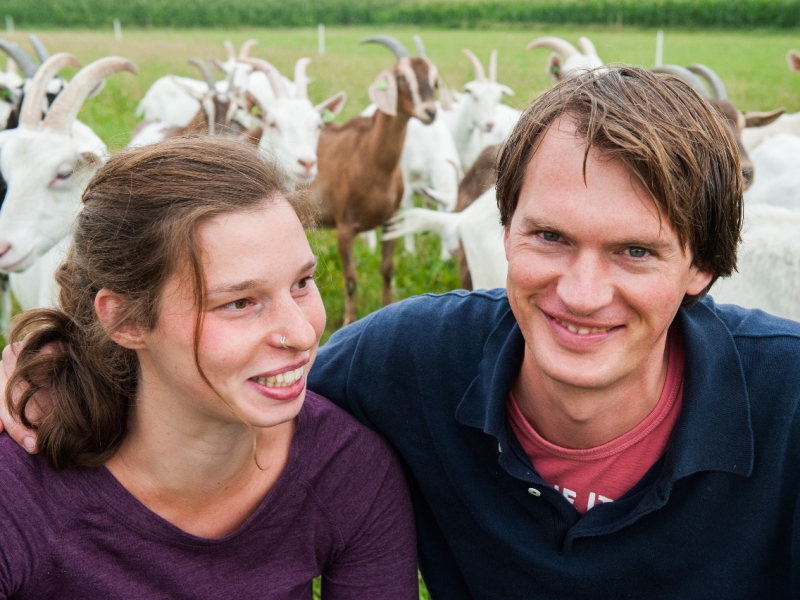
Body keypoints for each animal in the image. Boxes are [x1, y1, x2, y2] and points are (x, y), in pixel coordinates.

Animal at [310, 35, 450, 326]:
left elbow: (387, 270)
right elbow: (351, 278)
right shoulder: (344, 227)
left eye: (434, 80)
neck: (370, 161)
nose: (430, 112)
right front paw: (348, 320)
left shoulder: (390, 222)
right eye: (402, 78)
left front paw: (387, 307)